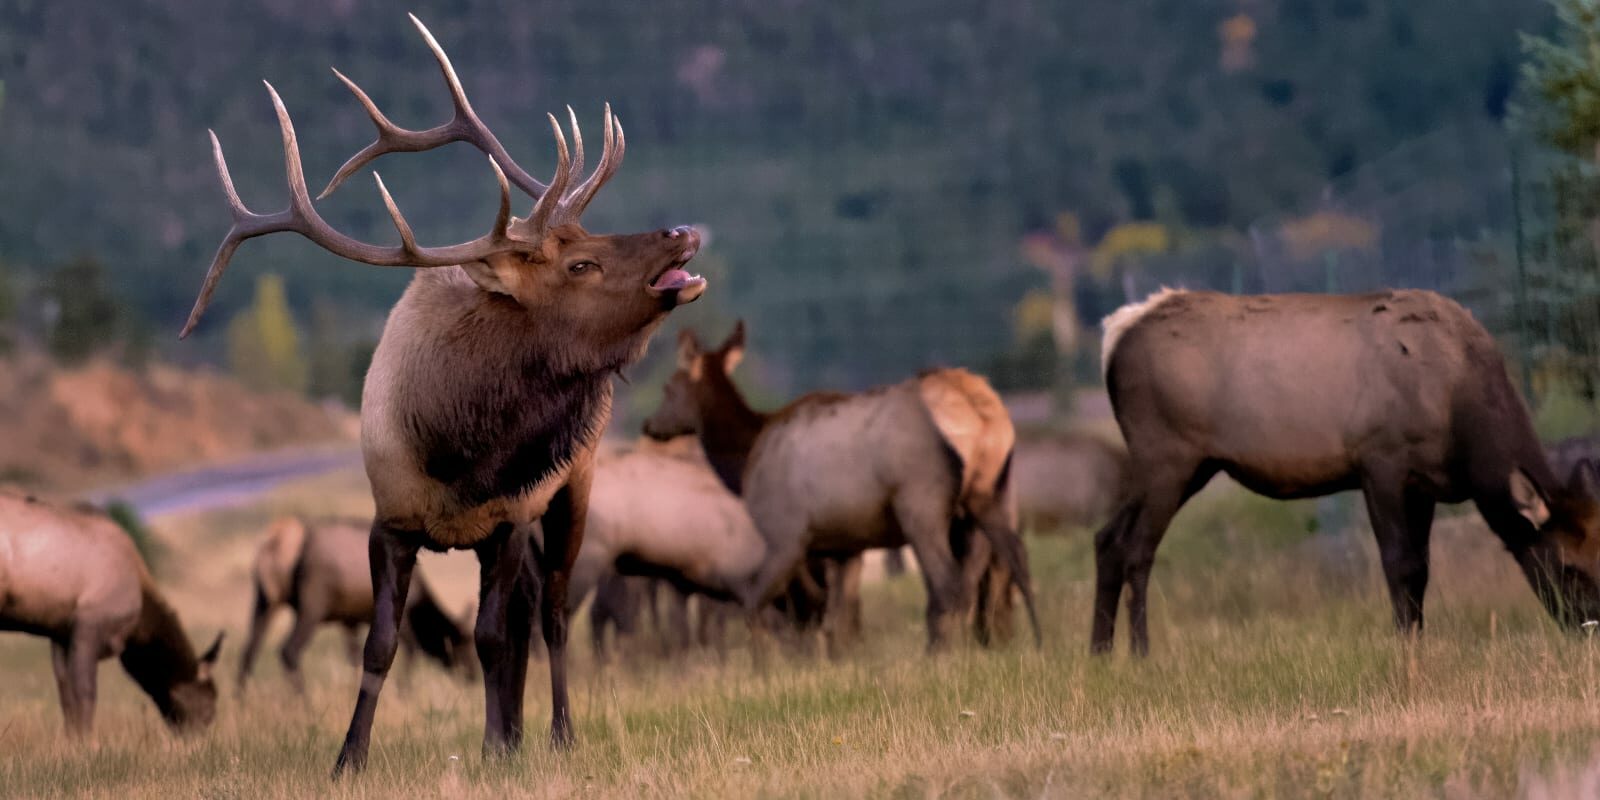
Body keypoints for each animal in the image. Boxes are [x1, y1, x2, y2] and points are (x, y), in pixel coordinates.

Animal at [0, 490, 223, 736]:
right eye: (212, 695)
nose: (202, 735)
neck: (140, 624)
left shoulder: (60, 634)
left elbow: (66, 695)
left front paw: (73, 738)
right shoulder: (89, 625)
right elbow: (85, 693)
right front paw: (87, 740)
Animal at [237, 516, 477, 695]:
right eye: (462, 645)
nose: (472, 677)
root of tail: (276, 542)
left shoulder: (349, 620)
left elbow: (353, 657)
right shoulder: (404, 617)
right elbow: (411, 649)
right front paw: (404, 690)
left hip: (264, 600)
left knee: (249, 649)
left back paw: (241, 699)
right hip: (312, 602)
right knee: (289, 650)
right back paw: (303, 700)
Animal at [642, 322, 1041, 650]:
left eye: (668, 387)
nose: (649, 424)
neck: (744, 459)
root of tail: (979, 410)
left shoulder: (786, 534)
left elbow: (773, 605)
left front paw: (770, 668)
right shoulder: (847, 544)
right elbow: (840, 619)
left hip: (921, 502)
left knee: (948, 584)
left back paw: (940, 654)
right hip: (991, 495)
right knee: (1015, 563)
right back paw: (1037, 643)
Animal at [1093, 288, 1600, 657]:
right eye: (1567, 567)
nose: (1591, 629)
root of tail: (1115, 337)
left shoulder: (1424, 484)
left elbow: (1422, 568)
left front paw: (1417, 640)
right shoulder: (1380, 460)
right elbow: (1400, 563)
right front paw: (1404, 646)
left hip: (1190, 465)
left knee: (1107, 537)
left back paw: (1099, 653)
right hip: (1166, 453)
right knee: (1138, 548)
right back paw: (1141, 654)